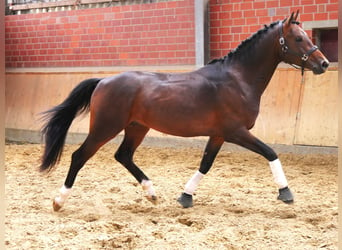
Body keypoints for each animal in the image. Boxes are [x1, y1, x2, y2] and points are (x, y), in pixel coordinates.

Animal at [39, 11, 328, 211]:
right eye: (298, 38)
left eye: (306, 37)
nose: (324, 63)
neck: (237, 79)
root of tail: (103, 81)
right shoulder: (236, 132)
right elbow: (270, 152)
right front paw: (286, 192)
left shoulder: (219, 135)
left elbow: (205, 164)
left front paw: (185, 196)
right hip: (105, 128)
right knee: (79, 156)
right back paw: (58, 201)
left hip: (137, 128)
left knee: (123, 156)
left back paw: (151, 193)